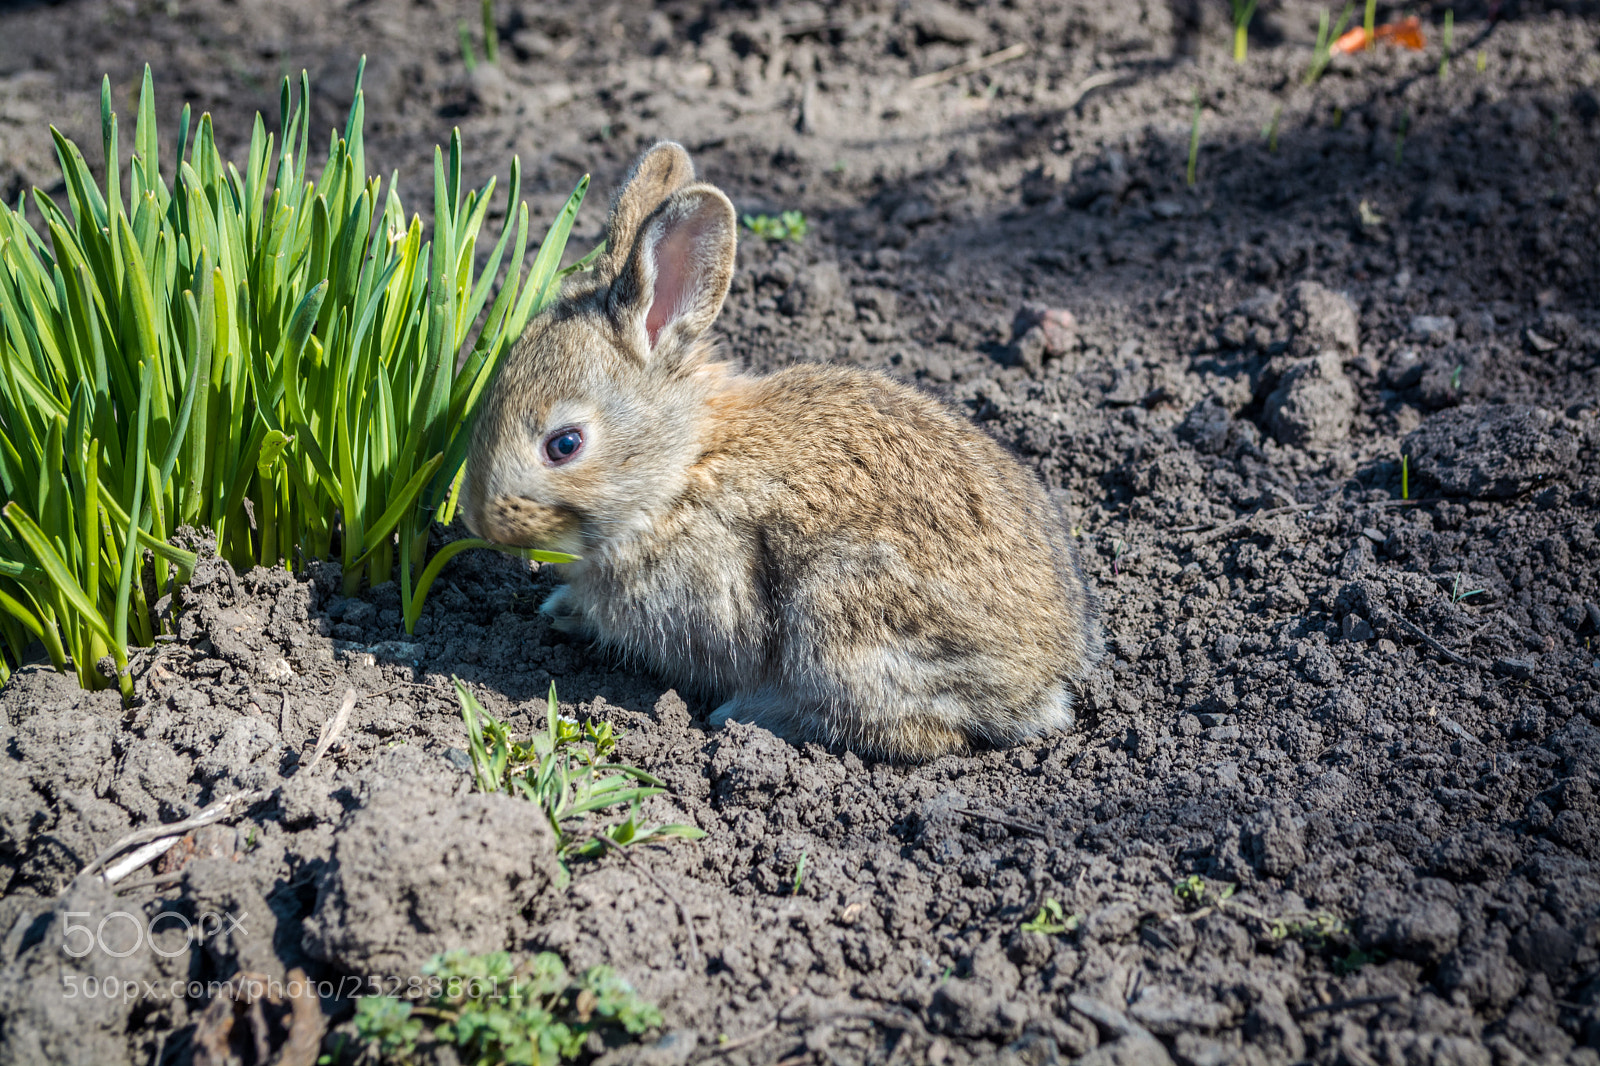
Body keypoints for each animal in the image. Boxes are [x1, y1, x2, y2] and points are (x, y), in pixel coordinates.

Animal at [461, 142, 1101, 761]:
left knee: (913, 730)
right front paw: (560, 608)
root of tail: (1044, 680)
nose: (478, 518)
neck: (681, 473)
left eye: (564, 445)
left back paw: (747, 716)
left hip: (844, 617)